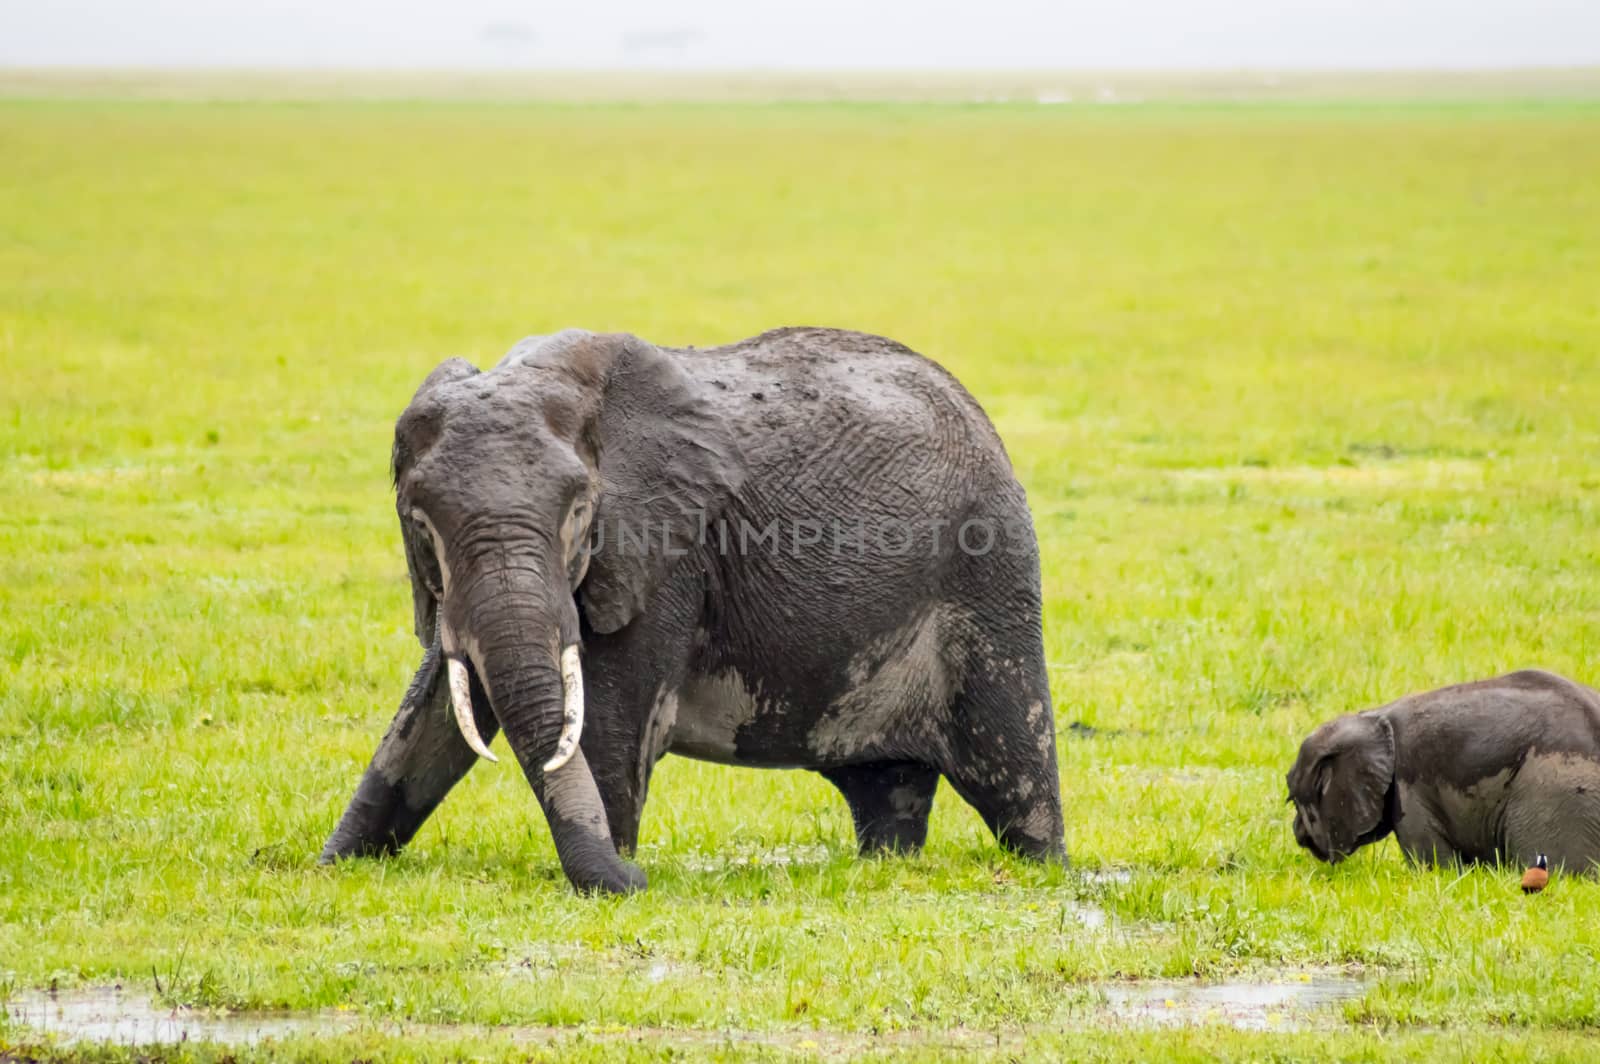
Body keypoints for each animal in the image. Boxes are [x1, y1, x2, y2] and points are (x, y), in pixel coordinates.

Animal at [320, 323, 1062, 889]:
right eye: (420, 525)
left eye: (579, 515)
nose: (637, 878)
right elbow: (438, 706)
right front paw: (333, 864)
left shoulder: (668, 556)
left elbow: (608, 722)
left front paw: (612, 873)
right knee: (886, 789)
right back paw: (883, 865)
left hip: (988, 574)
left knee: (1016, 774)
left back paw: (1046, 868)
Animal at [1286, 672, 1600, 870]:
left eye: (1294, 799)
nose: (1297, 831)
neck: (1372, 717)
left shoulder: (1409, 787)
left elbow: (1431, 860)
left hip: (1556, 793)